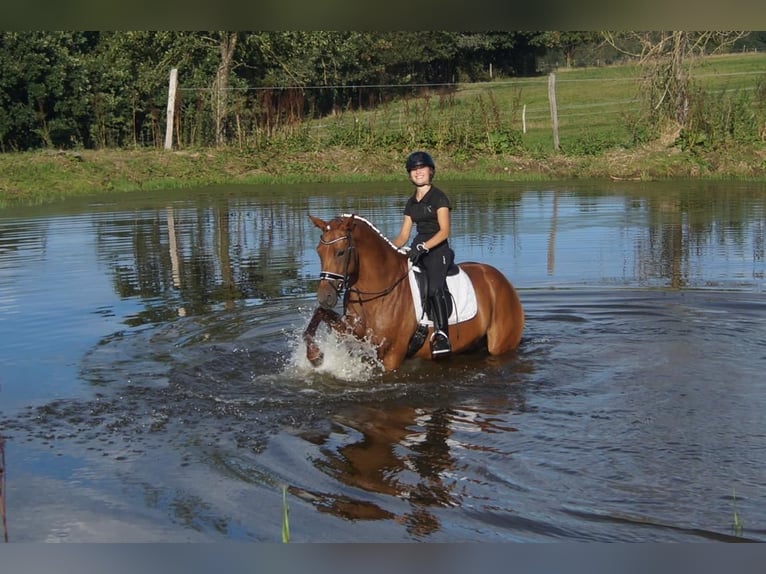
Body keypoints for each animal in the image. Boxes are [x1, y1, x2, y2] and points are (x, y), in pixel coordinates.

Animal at [303, 213, 524, 372]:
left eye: (340, 252)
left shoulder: (392, 356)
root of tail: (502, 281)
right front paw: (315, 356)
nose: (325, 296)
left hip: (501, 345)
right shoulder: (354, 333)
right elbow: (319, 315)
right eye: (318, 251)